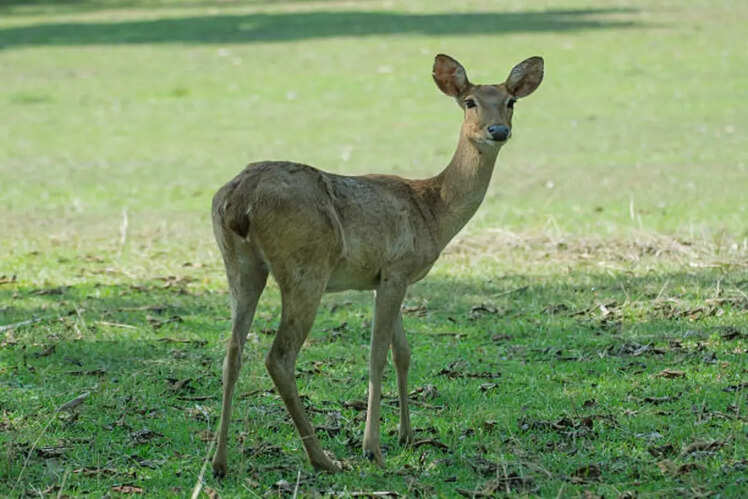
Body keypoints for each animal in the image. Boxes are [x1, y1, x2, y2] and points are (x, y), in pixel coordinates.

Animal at [210, 54, 544, 476]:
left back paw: (219, 462)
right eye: (469, 101)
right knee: (280, 356)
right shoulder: (398, 267)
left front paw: (407, 436)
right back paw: (323, 459)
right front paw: (373, 448)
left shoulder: (384, 278)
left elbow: (403, 353)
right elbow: (377, 355)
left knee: (232, 351)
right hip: (305, 267)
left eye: (510, 101)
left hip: (239, 264)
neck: (433, 212)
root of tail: (238, 201)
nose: (497, 130)